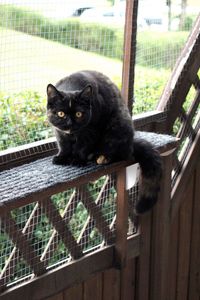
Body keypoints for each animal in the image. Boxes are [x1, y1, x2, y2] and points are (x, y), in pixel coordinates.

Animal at [46, 70, 162, 213]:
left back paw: (103, 158)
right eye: (61, 114)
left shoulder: (91, 129)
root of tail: (131, 144)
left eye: (79, 114)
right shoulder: (59, 132)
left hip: (116, 126)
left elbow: (82, 146)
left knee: (121, 154)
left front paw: (77, 159)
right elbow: (64, 145)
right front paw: (62, 157)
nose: (70, 123)